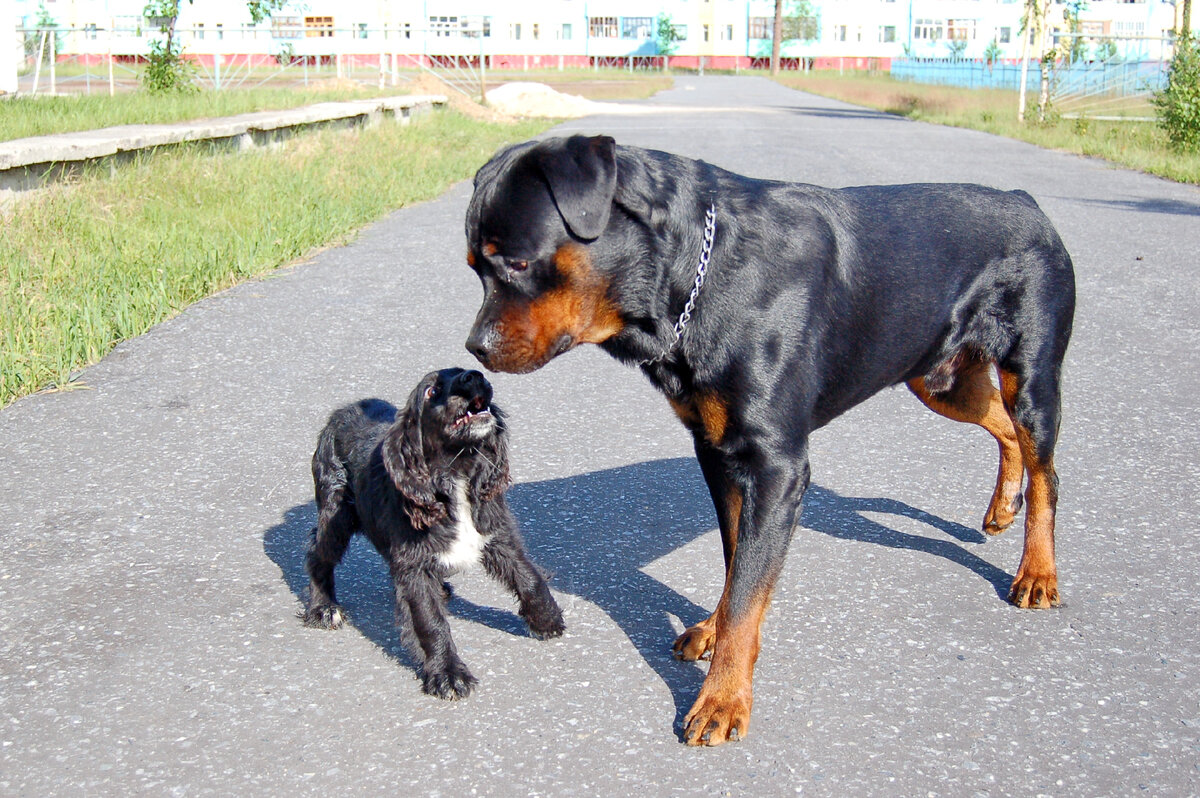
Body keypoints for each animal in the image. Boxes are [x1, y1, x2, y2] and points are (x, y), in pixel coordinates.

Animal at [300, 367, 561, 696]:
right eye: (430, 391)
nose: (475, 375)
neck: (457, 474)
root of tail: (341, 412)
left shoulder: (497, 533)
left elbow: (527, 576)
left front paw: (547, 619)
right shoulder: (415, 563)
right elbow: (429, 620)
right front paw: (447, 674)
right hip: (336, 512)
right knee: (317, 553)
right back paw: (323, 608)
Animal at [460, 135, 1080, 739]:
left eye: (517, 262)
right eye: (473, 268)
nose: (475, 349)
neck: (692, 280)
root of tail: (1028, 201)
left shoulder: (775, 467)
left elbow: (748, 589)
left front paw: (722, 699)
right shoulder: (717, 452)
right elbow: (737, 561)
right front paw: (714, 632)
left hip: (1031, 377)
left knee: (1046, 470)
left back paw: (1037, 571)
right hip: (939, 378)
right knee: (1002, 427)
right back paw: (1002, 506)